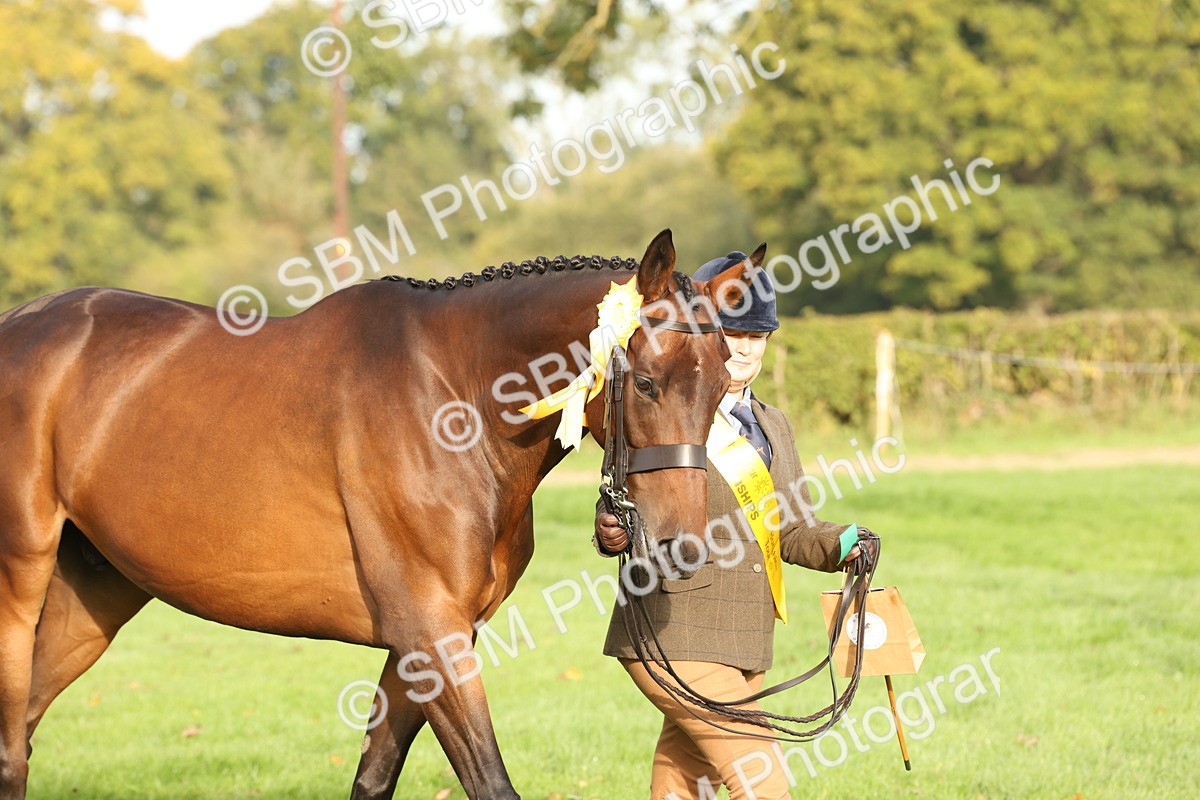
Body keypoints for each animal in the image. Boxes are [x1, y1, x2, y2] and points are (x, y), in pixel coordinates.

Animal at [0, 230, 759, 799]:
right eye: (649, 383)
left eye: (725, 384)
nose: (682, 545)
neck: (454, 399)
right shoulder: (431, 630)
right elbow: (490, 783)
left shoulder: (425, 640)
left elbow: (373, 778)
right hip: (20, 581)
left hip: (91, 597)